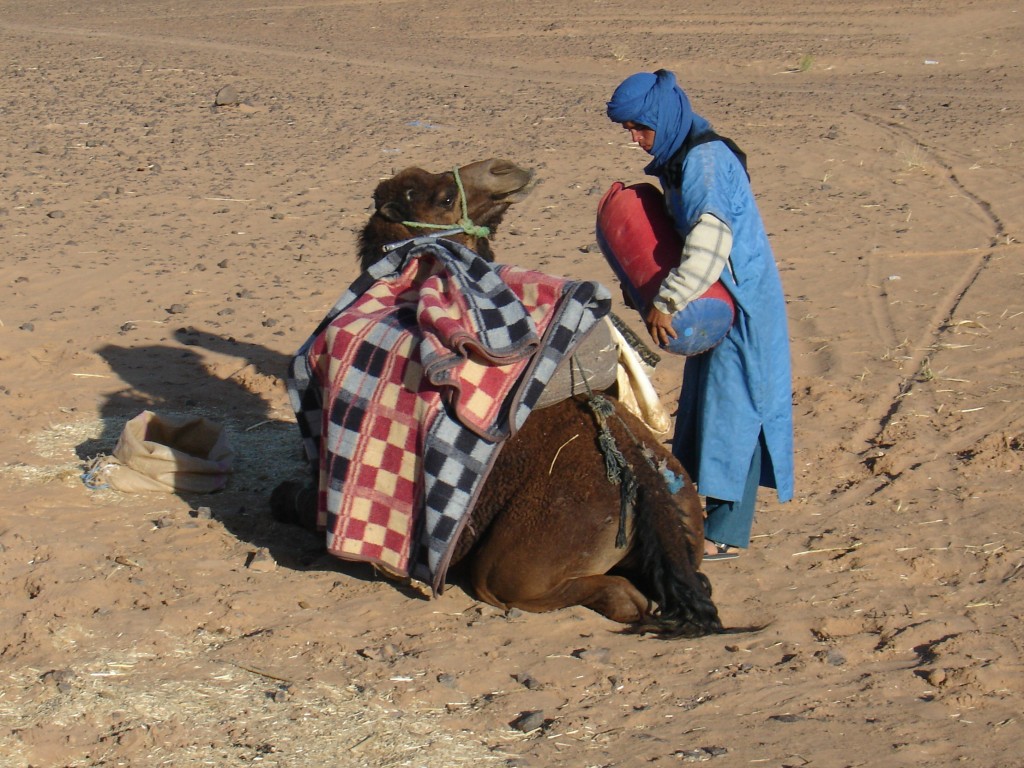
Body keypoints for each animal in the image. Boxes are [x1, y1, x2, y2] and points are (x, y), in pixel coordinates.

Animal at [272, 157, 720, 638]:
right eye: (444, 197)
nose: (505, 169)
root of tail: (645, 484)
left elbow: (291, 499)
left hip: (515, 566)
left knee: (590, 594)